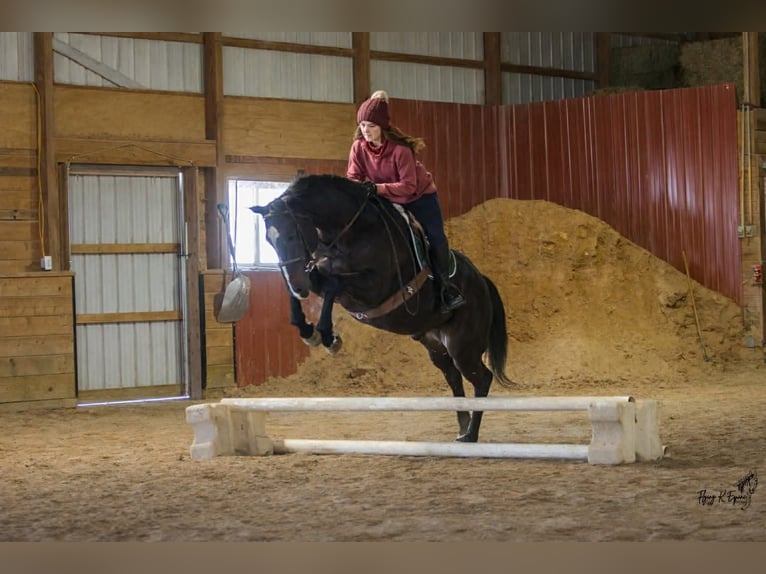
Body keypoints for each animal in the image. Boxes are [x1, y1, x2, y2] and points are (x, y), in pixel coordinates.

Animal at [250, 174, 513, 442]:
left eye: (292, 235)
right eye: (270, 240)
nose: (299, 287)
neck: (347, 232)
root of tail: (482, 281)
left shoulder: (374, 287)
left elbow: (333, 285)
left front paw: (326, 336)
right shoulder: (318, 276)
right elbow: (309, 289)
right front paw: (308, 331)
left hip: (462, 345)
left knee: (481, 378)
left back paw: (470, 435)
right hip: (436, 345)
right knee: (453, 377)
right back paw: (463, 428)